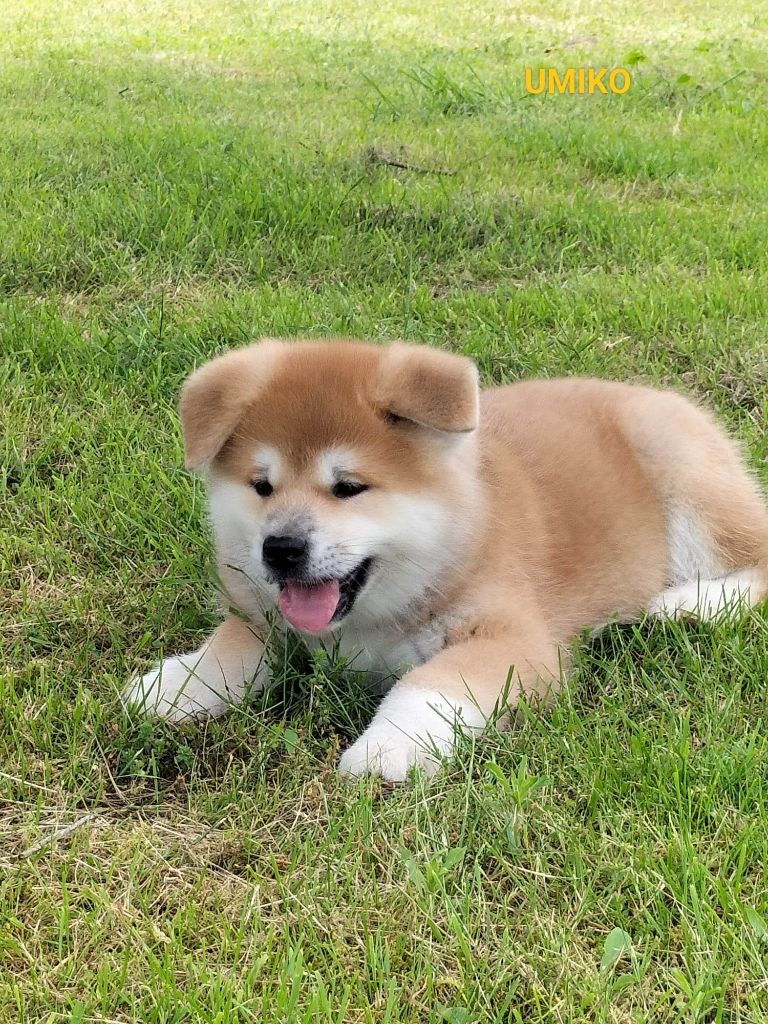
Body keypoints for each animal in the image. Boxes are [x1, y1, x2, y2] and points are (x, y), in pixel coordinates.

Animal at [123, 339, 768, 780]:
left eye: (348, 488)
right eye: (261, 486)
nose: (280, 550)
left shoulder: (515, 641)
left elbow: (430, 681)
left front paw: (384, 748)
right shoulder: (266, 619)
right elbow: (229, 649)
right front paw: (170, 686)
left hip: (681, 473)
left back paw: (684, 605)